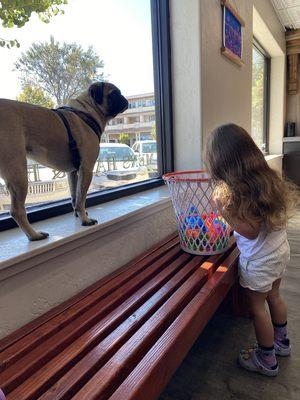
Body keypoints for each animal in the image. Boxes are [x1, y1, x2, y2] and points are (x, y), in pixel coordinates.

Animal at [0, 79, 127, 239]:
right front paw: (85, 220)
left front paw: (79, 215)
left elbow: (74, 198)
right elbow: (81, 199)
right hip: (18, 175)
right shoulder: (86, 169)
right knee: (17, 211)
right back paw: (34, 235)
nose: (125, 100)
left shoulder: (73, 173)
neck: (87, 111)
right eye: (114, 94)